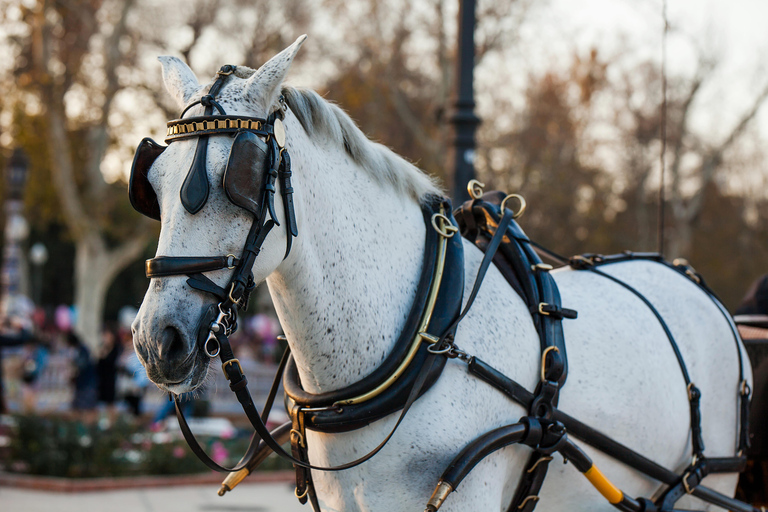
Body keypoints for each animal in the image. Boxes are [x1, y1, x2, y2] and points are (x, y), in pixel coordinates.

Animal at [131, 36, 751, 512]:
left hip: (707, 486)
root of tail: (699, 289)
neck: (428, 339)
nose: (158, 341)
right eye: (152, 183)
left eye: (239, 177)